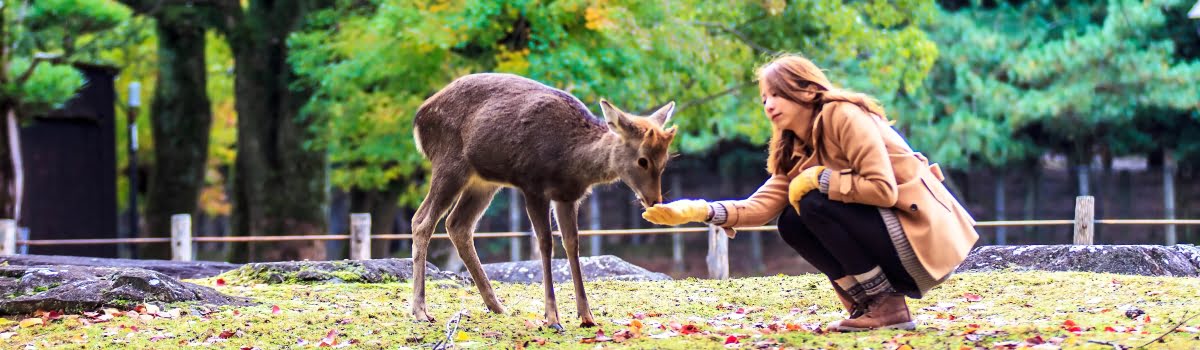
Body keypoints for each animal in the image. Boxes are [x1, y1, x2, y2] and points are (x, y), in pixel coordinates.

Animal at [410, 72, 676, 328]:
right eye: (642, 160)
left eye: (665, 162)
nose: (654, 200)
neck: (572, 161)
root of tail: (419, 118)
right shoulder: (533, 185)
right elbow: (545, 243)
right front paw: (552, 318)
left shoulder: (567, 196)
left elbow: (572, 243)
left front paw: (586, 316)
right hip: (449, 162)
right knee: (422, 221)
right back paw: (421, 311)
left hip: (484, 181)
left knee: (458, 225)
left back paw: (497, 306)